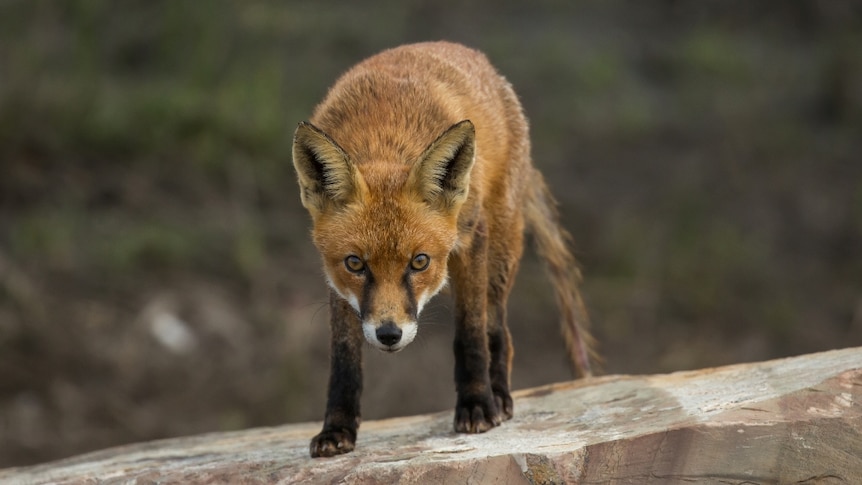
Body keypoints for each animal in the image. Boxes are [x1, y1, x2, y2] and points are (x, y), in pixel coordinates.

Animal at [294, 39, 596, 456]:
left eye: (419, 262)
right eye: (355, 264)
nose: (389, 334)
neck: (385, 133)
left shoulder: (470, 239)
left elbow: (470, 334)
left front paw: (477, 405)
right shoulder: (336, 282)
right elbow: (344, 358)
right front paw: (337, 429)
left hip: (499, 253)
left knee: (498, 331)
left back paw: (498, 395)